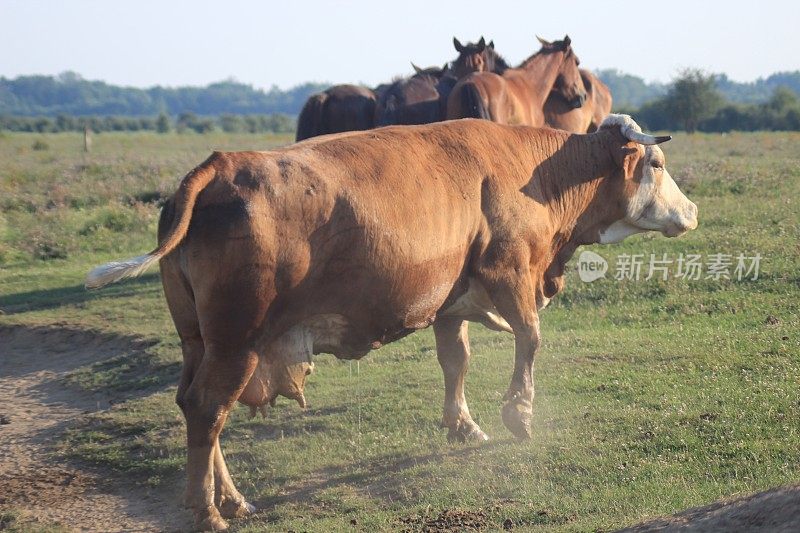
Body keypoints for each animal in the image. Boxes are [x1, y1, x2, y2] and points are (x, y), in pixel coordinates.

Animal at [87, 113, 696, 528]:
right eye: (657, 165)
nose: (691, 211)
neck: (535, 175)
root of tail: (218, 166)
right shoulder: (509, 273)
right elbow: (530, 338)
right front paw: (518, 413)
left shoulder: (451, 299)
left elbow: (456, 360)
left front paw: (463, 424)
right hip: (237, 341)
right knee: (208, 409)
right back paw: (208, 510)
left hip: (199, 341)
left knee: (193, 404)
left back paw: (230, 498)